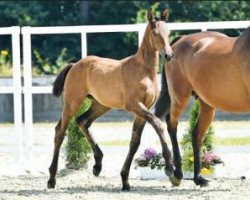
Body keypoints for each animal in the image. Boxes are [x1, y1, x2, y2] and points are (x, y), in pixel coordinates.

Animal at [47, 9, 176, 191]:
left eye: (169, 32)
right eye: (155, 33)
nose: (169, 55)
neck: (144, 71)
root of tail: (75, 65)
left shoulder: (144, 110)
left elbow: (135, 141)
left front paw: (125, 180)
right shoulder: (135, 106)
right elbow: (158, 124)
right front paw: (170, 169)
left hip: (100, 104)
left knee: (82, 121)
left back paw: (97, 165)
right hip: (72, 102)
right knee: (60, 130)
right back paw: (52, 179)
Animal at [152, 27, 250, 187]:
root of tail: (180, 40)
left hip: (207, 105)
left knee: (196, 135)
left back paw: (198, 177)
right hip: (180, 98)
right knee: (171, 124)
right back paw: (176, 173)